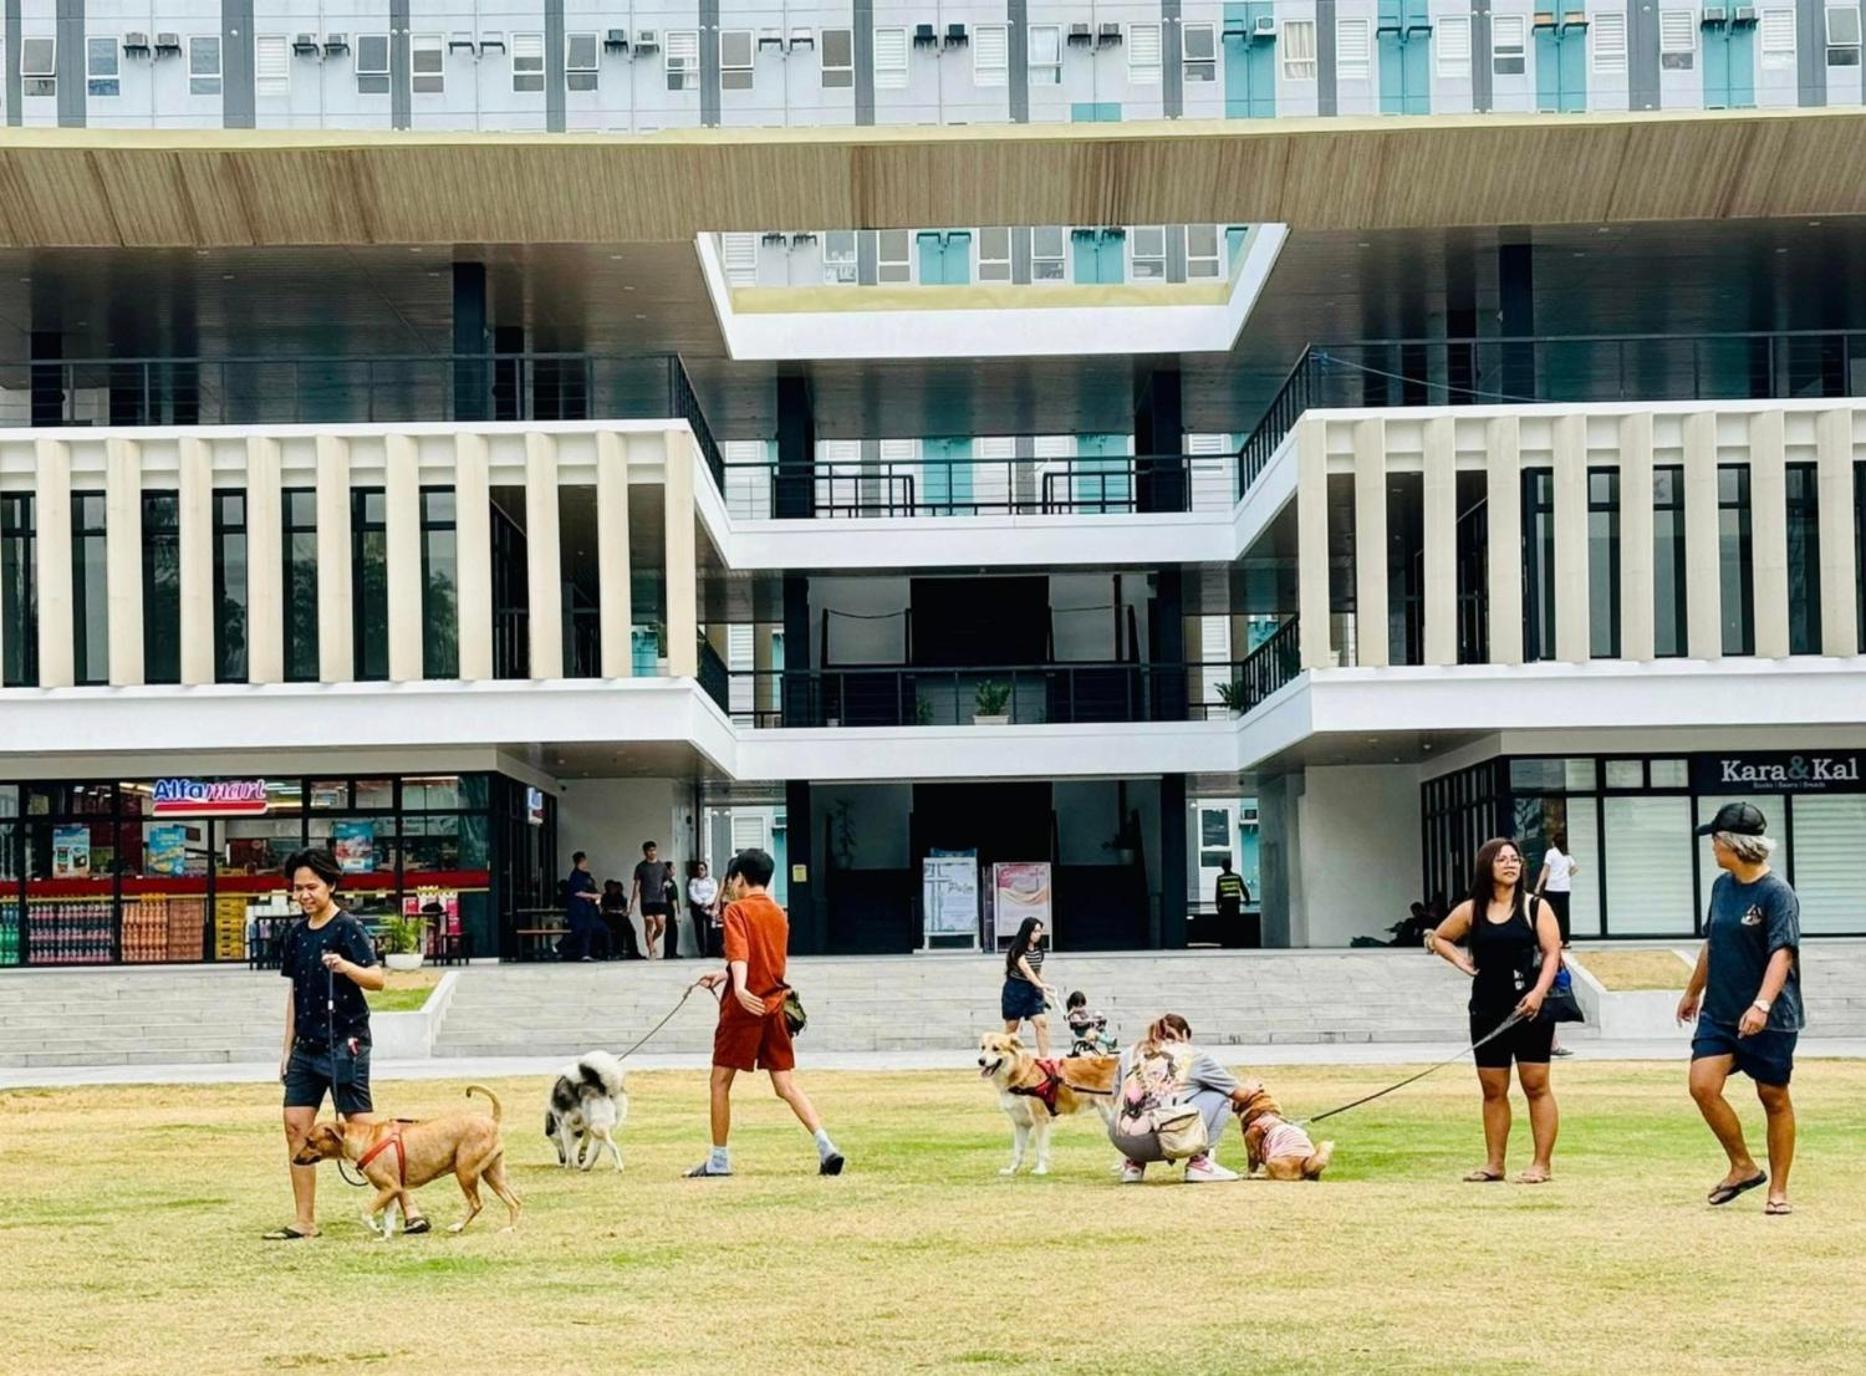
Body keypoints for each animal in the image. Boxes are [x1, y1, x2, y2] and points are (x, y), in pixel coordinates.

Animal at [292, 1082, 522, 1232]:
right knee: (515, 1201)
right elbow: (388, 1217)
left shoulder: (390, 1188)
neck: (365, 1140)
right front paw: (385, 1233)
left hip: (465, 1172)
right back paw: (510, 1228)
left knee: (476, 1203)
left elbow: (366, 1214)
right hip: (492, 1173)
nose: (295, 1159)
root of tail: (492, 1119)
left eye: (310, 1141)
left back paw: (458, 1226)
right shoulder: (390, 1192)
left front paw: (375, 1227)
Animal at [977, 1023, 1119, 1172]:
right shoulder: (1021, 1123)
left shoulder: (1040, 1118)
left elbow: (1040, 1149)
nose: (980, 1061)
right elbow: (1017, 1151)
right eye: (983, 1047)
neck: (1021, 1074)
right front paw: (1012, 1170)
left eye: (996, 1048)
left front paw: (1040, 1169)